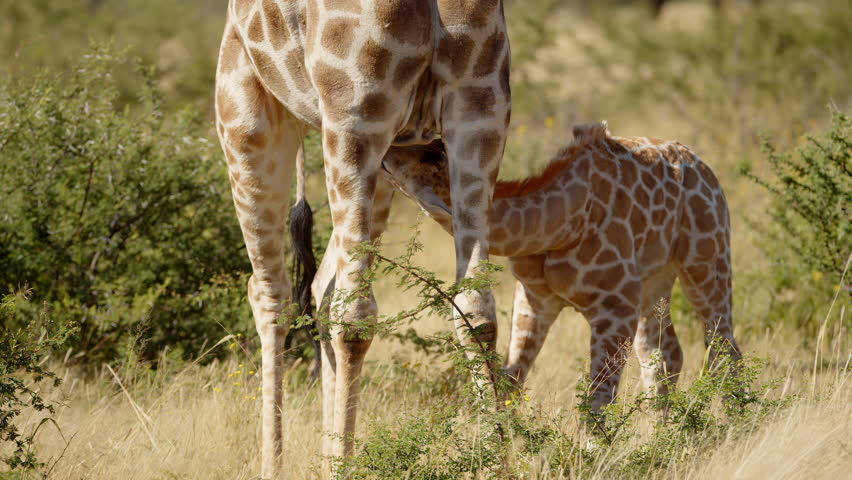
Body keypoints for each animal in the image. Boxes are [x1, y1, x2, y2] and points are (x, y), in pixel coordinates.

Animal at [216, 0, 510, 476]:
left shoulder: (471, 112)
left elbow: (470, 309)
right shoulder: (378, 114)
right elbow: (366, 317)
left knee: (305, 293)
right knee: (289, 295)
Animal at [382, 124, 744, 412]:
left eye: (433, 157)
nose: (387, 151)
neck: (559, 226)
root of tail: (701, 165)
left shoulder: (615, 307)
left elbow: (596, 403)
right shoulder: (535, 299)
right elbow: (512, 380)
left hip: (707, 261)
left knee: (724, 349)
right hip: (655, 283)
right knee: (664, 355)